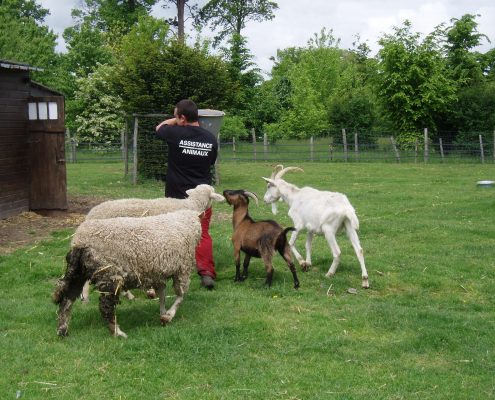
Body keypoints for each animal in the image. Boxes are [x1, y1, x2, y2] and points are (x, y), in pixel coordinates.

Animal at [52, 209, 202, 338]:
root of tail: (79, 241)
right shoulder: (182, 269)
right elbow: (180, 295)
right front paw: (168, 316)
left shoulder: (157, 273)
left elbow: (162, 295)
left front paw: (162, 313)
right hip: (109, 274)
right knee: (105, 306)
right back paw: (117, 332)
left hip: (78, 272)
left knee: (67, 298)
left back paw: (62, 330)